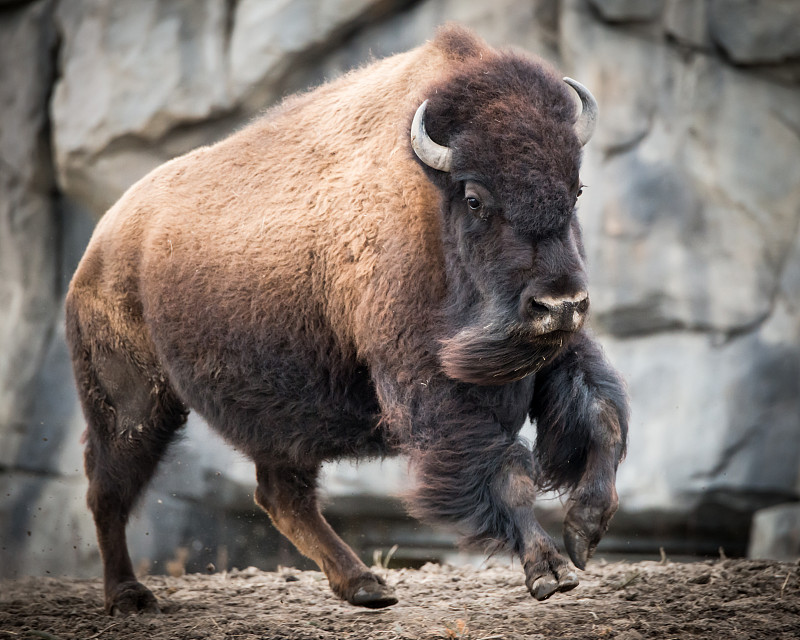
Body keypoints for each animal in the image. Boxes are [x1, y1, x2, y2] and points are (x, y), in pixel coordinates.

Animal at [65, 26, 628, 616]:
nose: (560, 303)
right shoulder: (434, 388)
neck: (431, 204)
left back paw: (365, 585)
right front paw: (550, 572)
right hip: (132, 405)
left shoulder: (559, 354)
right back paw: (129, 595)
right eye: (475, 198)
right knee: (109, 489)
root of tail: (101, 244)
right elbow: (508, 472)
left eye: (576, 189)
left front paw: (585, 530)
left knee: (280, 495)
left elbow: (603, 419)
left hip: (277, 422)